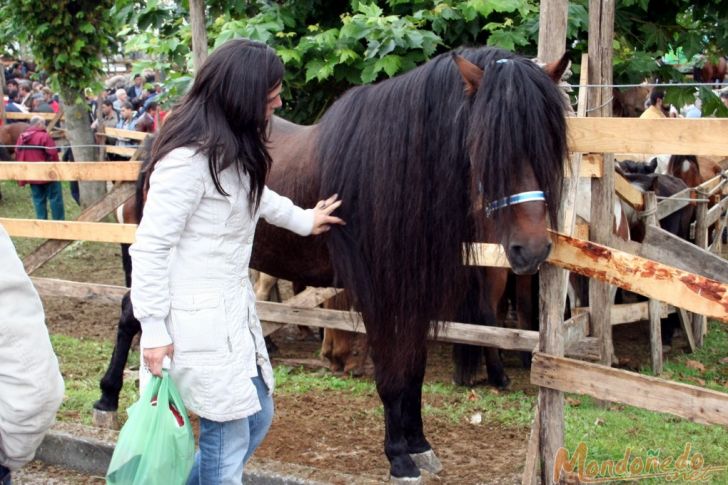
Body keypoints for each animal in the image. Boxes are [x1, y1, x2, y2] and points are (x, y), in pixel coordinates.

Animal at [96, 46, 568, 480]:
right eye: (487, 144)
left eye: (548, 140)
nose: (532, 249)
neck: (396, 174)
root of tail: (160, 138)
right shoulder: (380, 296)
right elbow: (391, 375)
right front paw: (399, 456)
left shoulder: (412, 295)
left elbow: (413, 369)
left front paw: (419, 444)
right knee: (133, 312)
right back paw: (107, 399)